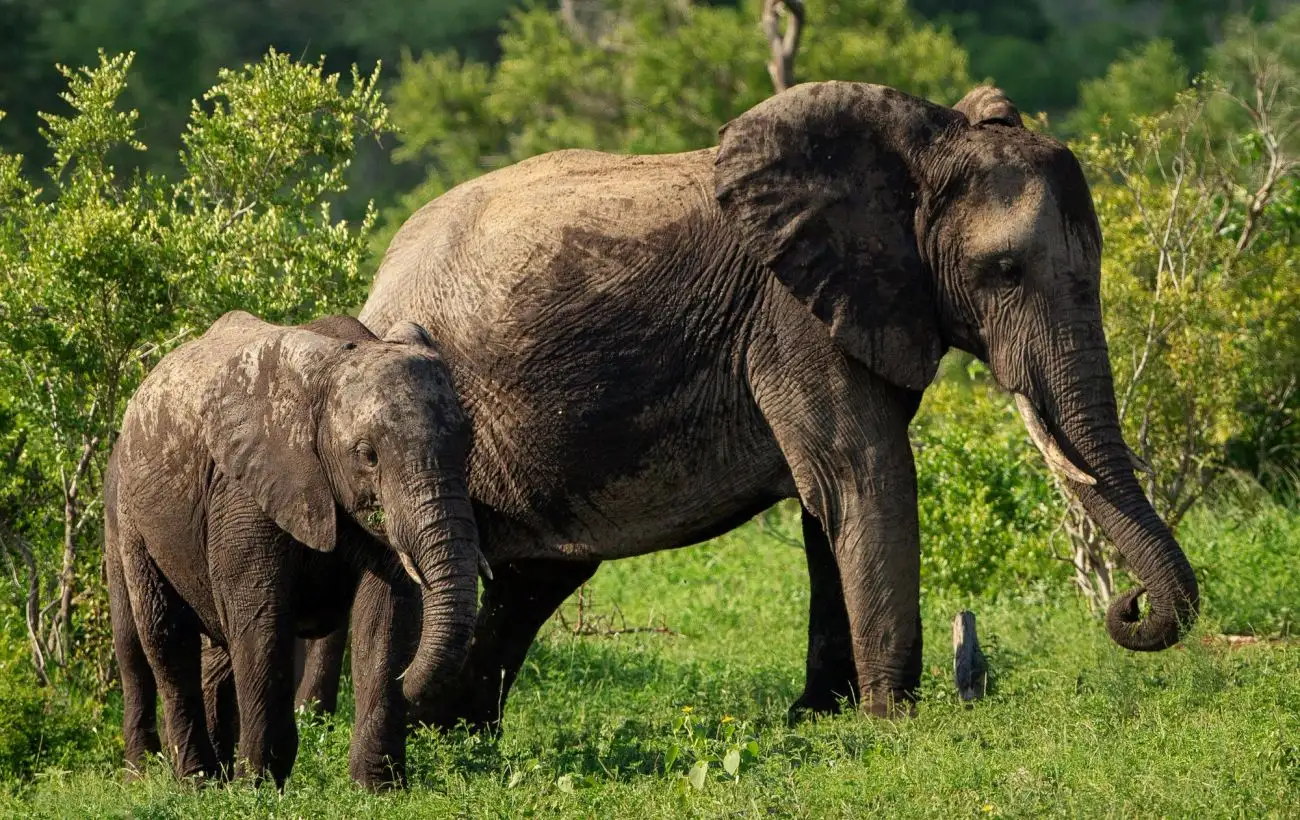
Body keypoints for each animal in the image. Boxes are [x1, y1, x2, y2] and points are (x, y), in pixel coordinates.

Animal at [105, 309, 483, 790]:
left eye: (467, 444)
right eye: (367, 455)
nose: (411, 684)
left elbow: (387, 617)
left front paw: (377, 789)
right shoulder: (243, 490)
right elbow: (263, 620)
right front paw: (258, 788)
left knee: (215, 653)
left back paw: (217, 776)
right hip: (128, 513)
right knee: (157, 640)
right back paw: (186, 781)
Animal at [301, 81, 1196, 732]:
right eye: (1005, 271)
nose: (1129, 605)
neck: (919, 144)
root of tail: (381, 283)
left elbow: (828, 505)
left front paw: (820, 719)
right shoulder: (793, 317)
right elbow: (864, 476)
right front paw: (894, 725)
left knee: (534, 575)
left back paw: (450, 729)